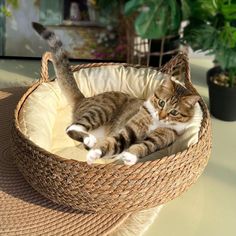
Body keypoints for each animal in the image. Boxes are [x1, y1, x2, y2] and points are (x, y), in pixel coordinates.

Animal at [32, 22, 200, 166]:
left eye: (174, 112)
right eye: (161, 102)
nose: (161, 116)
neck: (156, 122)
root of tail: (84, 98)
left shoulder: (160, 138)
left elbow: (143, 146)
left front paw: (129, 156)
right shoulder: (131, 128)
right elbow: (116, 141)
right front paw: (95, 154)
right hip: (101, 110)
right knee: (71, 128)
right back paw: (89, 140)